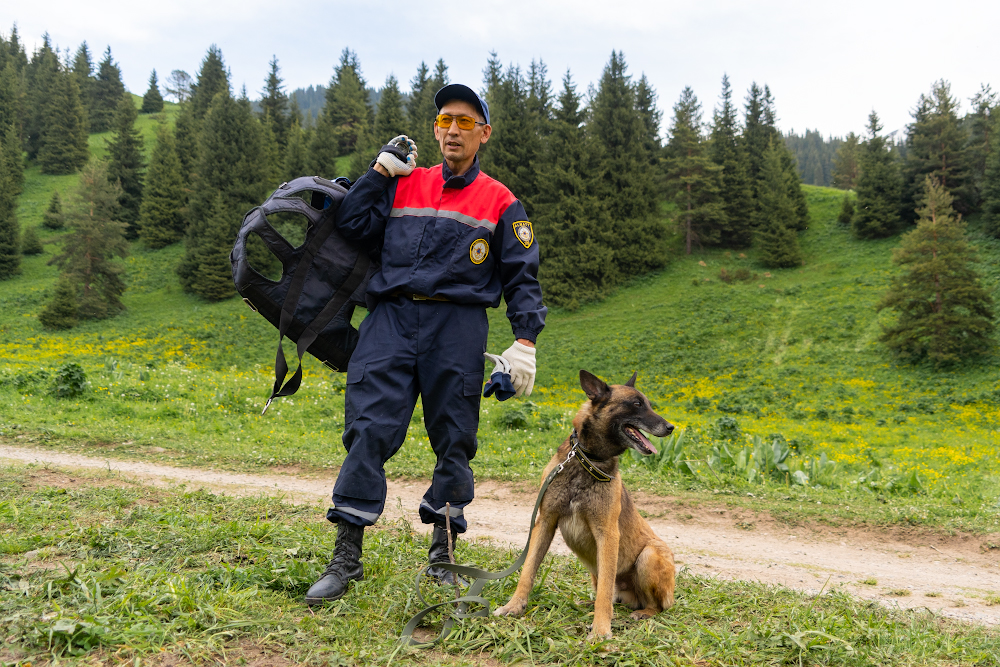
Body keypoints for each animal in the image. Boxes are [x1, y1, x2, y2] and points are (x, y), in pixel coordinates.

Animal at [494, 370, 676, 640]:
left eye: (648, 404)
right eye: (636, 404)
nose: (671, 427)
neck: (588, 460)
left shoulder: (607, 534)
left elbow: (605, 594)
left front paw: (600, 630)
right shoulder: (544, 523)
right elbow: (527, 572)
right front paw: (513, 606)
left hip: (649, 555)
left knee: (652, 605)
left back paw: (642, 612)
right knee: (610, 594)